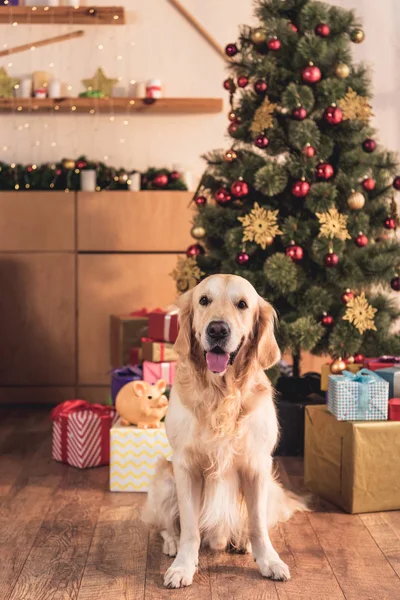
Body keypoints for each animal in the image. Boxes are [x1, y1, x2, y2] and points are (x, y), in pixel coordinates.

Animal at [142, 274, 308, 588]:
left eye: (242, 304)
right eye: (204, 300)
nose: (217, 329)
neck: (222, 394)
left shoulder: (257, 466)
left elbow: (258, 525)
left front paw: (269, 561)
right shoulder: (185, 465)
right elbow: (190, 528)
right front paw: (183, 566)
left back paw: (240, 540)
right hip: (164, 479)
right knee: (166, 526)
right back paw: (172, 544)